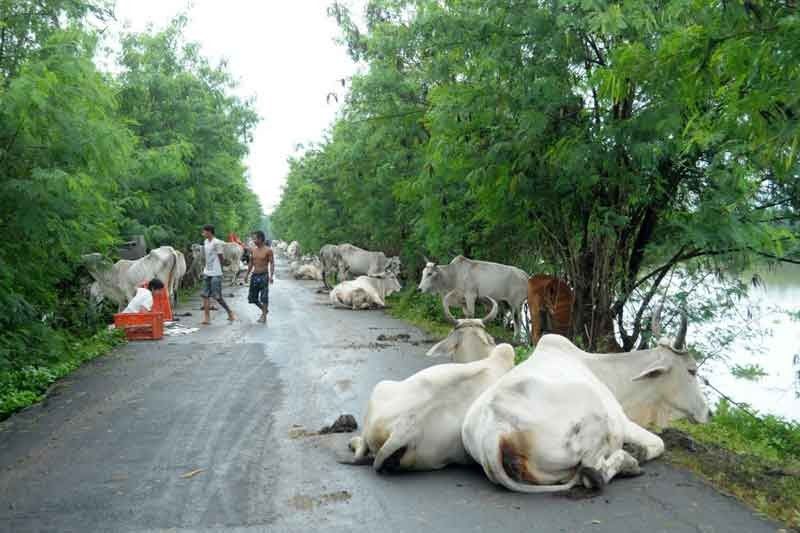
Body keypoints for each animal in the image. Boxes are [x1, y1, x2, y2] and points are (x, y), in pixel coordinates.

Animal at [460, 310, 708, 492]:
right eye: (692, 370)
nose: (708, 413)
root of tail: (495, 431)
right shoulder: (622, 420)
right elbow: (659, 443)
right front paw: (639, 452)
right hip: (598, 421)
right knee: (592, 474)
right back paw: (629, 462)